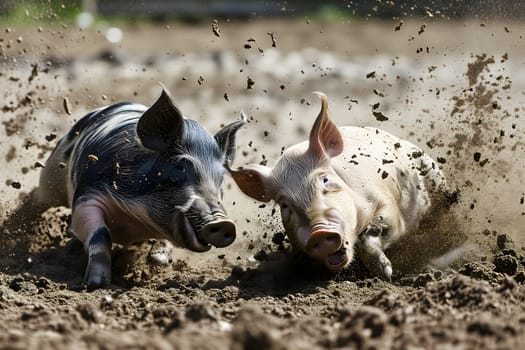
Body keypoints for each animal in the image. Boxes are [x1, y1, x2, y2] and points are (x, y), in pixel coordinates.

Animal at [36, 87, 246, 288]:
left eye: (220, 178)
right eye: (179, 166)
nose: (224, 223)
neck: (135, 219)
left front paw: (158, 261)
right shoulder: (88, 195)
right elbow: (100, 235)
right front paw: (96, 283)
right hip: (52, 173)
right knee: (37, 198)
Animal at [227, 92, 444, 282]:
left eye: (325, 181)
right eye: (284, 204)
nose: (319, 231)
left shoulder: (387, 206)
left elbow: (378, 232)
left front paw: (386, 275)